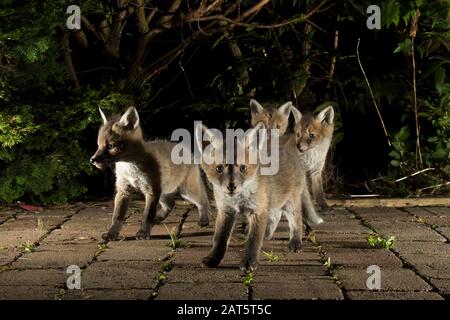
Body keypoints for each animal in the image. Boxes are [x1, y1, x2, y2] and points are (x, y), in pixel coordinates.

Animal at [91, 107, 213, 240]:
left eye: (110, 146)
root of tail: (188, 151)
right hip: (163, 191)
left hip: (186, 191)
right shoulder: (124, 190)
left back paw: (204, 220)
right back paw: (158, 218)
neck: (130, 168)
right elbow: (117, 217)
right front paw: (111, 233)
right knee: (171, 204)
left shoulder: (151, 190)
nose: (92, 160)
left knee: (203, 200)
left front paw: (143, 233)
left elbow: (147, 215)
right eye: (98, 145)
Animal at [198, 122, 306, 270]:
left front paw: (249, 262)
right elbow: (219, 239)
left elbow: (253, 240)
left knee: (296, 221)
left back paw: (295, 242)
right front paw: (213, 258)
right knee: (275, 216)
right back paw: (267, 234)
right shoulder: (226, 211)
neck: (238, 199)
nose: (231, 187)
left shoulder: (257, 210)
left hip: (290, 202)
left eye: (243, 168)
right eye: (219, 168)